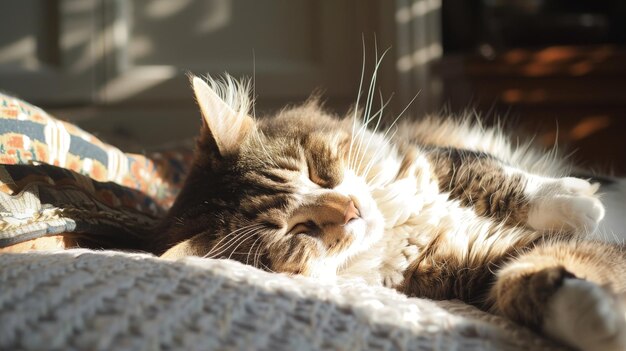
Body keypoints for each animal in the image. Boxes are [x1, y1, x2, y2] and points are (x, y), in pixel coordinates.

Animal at [152, 75, 624, 351]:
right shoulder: (478, 261)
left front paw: (579, 199)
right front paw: (602, 321)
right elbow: (529, 279)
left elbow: (497, 177)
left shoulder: (434, 159)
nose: (351, 210)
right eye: (297, 230)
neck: (396, 223)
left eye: (315, 172)